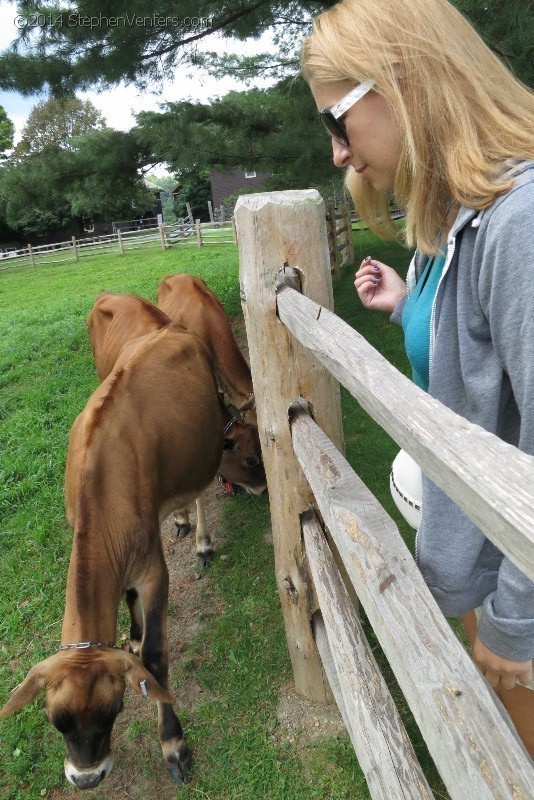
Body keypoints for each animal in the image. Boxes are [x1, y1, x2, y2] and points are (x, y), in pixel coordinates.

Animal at [0, 324, 245, 788]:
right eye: (56, 720)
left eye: (113, 710)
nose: (86, 778)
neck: (100, 494)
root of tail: (171, 327)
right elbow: (128, 606)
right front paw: (131, 634)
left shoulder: (152, 570)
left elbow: (154, 659)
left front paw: (174, 746)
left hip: (206, 444)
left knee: (202, 487)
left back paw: (202, 540)